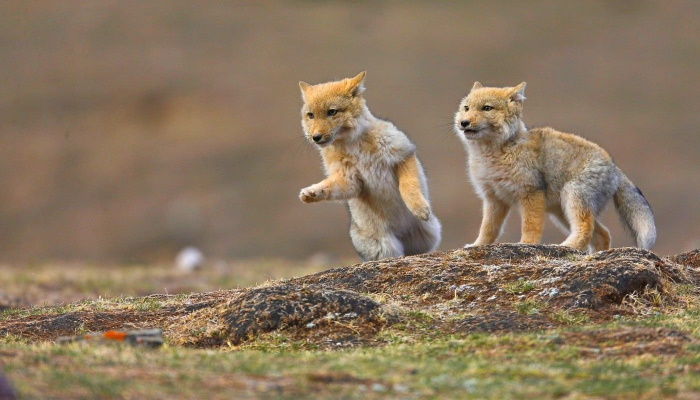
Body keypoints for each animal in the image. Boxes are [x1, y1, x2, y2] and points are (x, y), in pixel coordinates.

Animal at [298, 71, 441, 261]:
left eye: (332, 112)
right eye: (310, 115)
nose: (315, 137)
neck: (354, 146)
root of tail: (402, 232)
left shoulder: (402, 155)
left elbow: (408, 186)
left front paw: (419, 208)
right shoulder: (350, 179)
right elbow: (329, 186)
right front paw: (312, 192)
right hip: (385, 247)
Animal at [453, 81, 656, 252]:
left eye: (486, 108)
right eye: (466, 108)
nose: (464, 122)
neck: (494, 154)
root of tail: (615, 167)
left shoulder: (531, 193)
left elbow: (530, 226)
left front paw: (526, 245)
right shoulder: (493, 198)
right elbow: (488, 229)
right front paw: (477, 246)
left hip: (573, 199)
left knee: (587, 228)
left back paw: (567, 247)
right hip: (561, 213)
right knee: (603, 234)